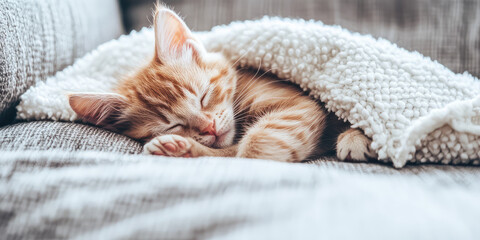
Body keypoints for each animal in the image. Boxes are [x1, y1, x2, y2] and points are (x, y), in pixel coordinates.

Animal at [67, 6, 376, 162]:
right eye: (172, 125)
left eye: (204, 96)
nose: (209, 128)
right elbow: (228, 152)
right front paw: (182, 146)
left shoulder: (298, 105)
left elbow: (252, 151)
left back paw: (356, 140)